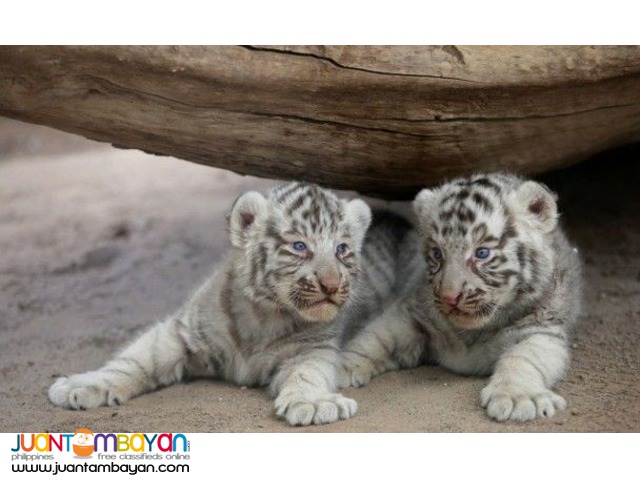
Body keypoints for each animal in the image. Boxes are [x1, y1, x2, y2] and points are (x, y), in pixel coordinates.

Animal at [48, 181, 403, 426]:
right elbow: (135, 359)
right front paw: (80, 386)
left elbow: (308, 374)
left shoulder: (312, 349)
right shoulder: (180, 331)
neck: (266, 314)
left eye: (342, 249)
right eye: (299, 246)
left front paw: (314, 403)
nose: (331, 286)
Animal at [340, 173, 583, 422]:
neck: (474, 331)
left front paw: (518, 396)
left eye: (482, 253)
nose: (449, 297)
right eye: (437, 254)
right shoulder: (410, 312)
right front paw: (341, 368)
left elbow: (525, 358)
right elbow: (374, 339)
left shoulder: (542, 328)